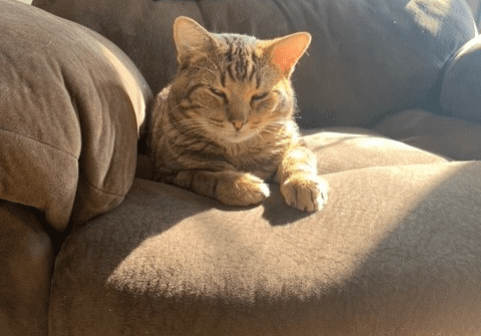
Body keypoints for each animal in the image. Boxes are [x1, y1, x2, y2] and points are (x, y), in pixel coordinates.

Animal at [149, 15, 326, 211]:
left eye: (259, 95)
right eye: (216, 92)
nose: (239, 122)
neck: (238, 151)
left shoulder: (297, 143)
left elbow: (298, 158)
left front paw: (302, 182)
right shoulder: (167, 172)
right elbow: (206, 176)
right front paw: (240, 183)